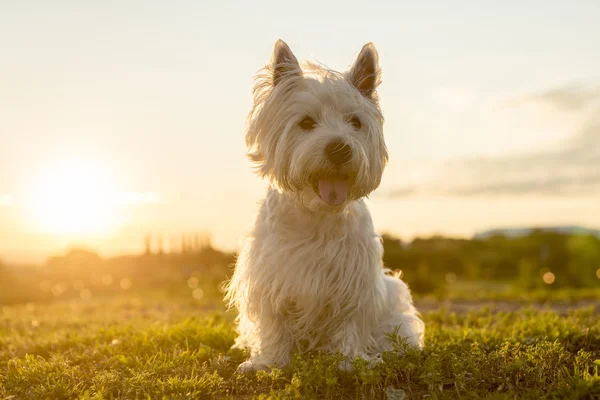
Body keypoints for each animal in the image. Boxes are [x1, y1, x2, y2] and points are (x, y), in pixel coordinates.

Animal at [226, 40, 426, 372]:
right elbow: (273, 324)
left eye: (355, 122)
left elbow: (349, 323)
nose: (339, 149)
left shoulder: (354, 283)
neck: (317, 213)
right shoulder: (269, 278)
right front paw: (268, 362)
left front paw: (349, 361)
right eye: (306, 122)